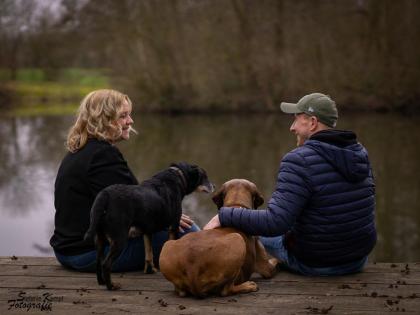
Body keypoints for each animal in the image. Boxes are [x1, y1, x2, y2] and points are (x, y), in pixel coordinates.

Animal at [83, 163, 213, 292]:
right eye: (205, 176)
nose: (214, 186)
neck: (178, 175)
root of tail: (104, 196)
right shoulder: (174, 226)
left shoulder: (147, 229)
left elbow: (149, 253)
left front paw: (150, 270)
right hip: (119, 239)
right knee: (106, 264)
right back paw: (111, 286)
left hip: (100, 238)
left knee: (98, 261)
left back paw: (102, 282)